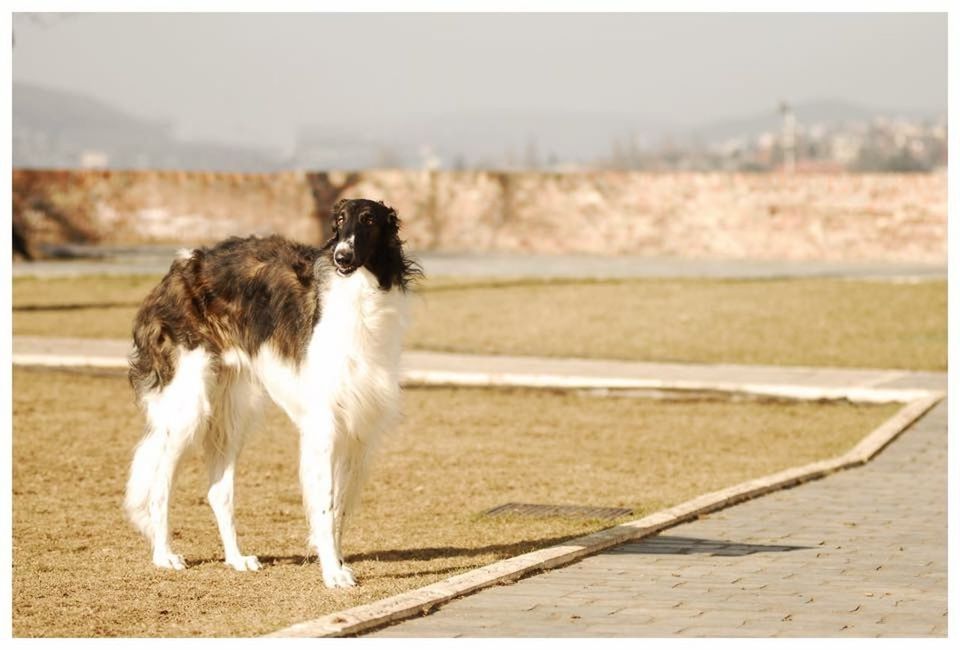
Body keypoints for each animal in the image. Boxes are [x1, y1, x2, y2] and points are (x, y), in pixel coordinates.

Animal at [123, 197, 416, 588]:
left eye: (369, 220)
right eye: (339, 220)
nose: (341, 256)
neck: (359, 299)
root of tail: (176, 270)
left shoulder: (358, 433)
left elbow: (340, 508)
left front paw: (338, 564)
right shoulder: (324, 426)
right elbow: (325, 505)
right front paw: (332, 573)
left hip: (232, 413)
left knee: (218, 492)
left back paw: (236, 558)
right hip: (189, 407)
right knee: (159, 483)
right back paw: (164, 555)